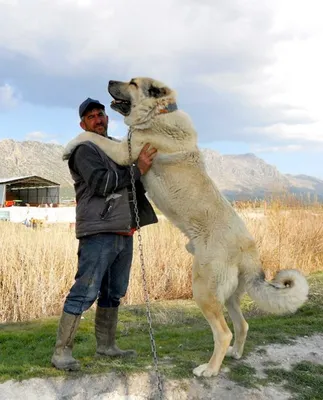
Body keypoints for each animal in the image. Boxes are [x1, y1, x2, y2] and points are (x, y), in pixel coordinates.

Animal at [63, 78, 308, 378]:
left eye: (132, 82)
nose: (109, 81)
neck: (158, 113)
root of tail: (248, 249)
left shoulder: (124, 151)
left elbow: (94, 138)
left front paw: (68, 147)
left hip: (203, 290)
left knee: (224, 332)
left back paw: (210, 369)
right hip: (228, 296)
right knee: (242, 324)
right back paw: (235, 354)